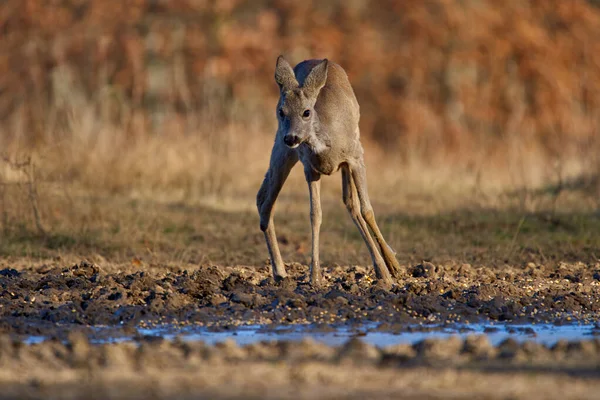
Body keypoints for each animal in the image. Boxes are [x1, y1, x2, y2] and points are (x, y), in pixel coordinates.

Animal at [256, 57, 400, 288]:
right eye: (281, 111)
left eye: (306, 112)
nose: (292, 137)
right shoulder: (310, 168)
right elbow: (316, 215)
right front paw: (315, 276)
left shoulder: (356, 157)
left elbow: (367, 210)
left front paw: (391, 267)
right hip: (282, 150)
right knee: (264, 199)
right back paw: (279, 272)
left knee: (352, 205)